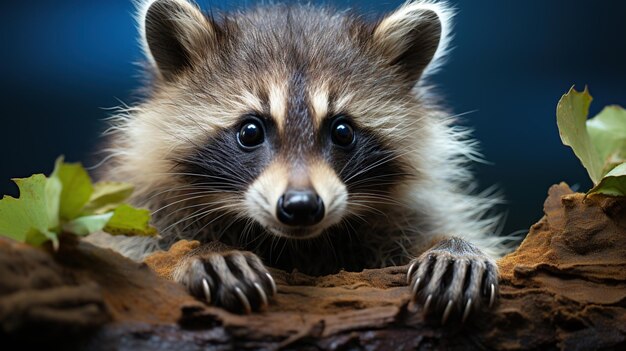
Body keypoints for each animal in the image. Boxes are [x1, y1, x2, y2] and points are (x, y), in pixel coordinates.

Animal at [90, 0, 510, 324]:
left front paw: (454, 246)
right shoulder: (145, 205)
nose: (301, 206)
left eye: (342, 131)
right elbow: (137, 250)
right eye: (250, 132)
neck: (293, 244)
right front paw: (202, 252)